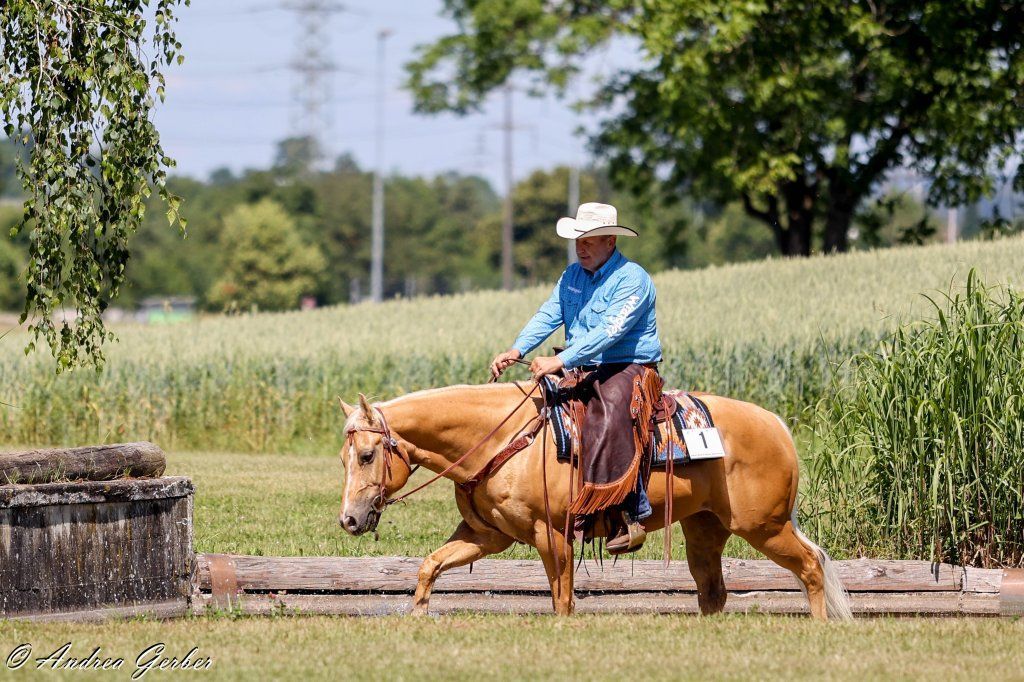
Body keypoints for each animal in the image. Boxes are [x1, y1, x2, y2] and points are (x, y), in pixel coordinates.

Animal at [338, 381, 852, 619]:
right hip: (705, 530)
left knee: (811, 566)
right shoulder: (488, 536)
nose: (349, 520)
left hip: (765, 526)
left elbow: (562, 597)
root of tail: (776, 424)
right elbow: (430, 565)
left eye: (366, 455)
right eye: (344, 457)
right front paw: (418, 615)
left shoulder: (551, 533)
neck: (503, 439)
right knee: (713, 590)